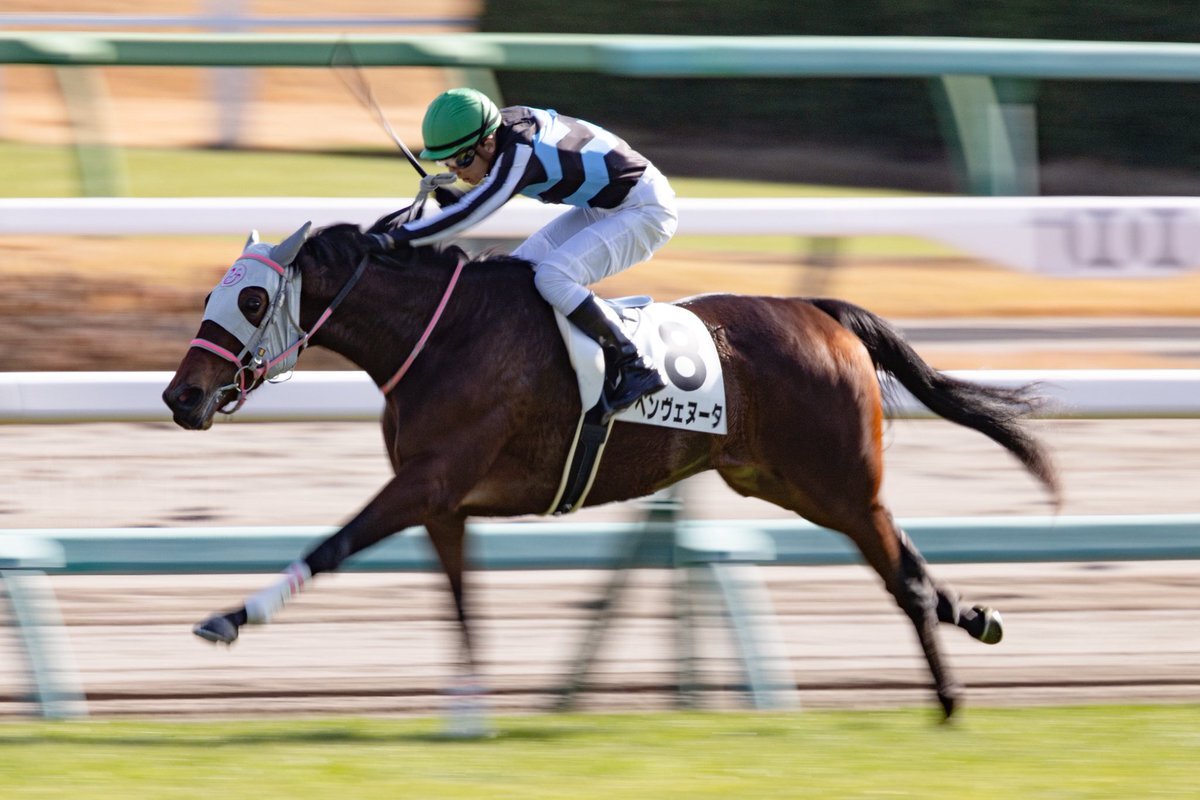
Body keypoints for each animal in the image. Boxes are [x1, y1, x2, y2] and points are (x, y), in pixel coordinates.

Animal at [162, 218, 1060, 719]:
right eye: (212, 295)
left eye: (249, 301)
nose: (181, 395)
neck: (443, 335)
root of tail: (821, 312)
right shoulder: (444, 502)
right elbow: (461, 604)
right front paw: (468, 713)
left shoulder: (427, 481)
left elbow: (335, 543)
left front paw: (230, 618)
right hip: (790, 481)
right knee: (905, 562)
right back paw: (975, 617)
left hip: (837, 478)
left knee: (901, 576)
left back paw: (949, 700)